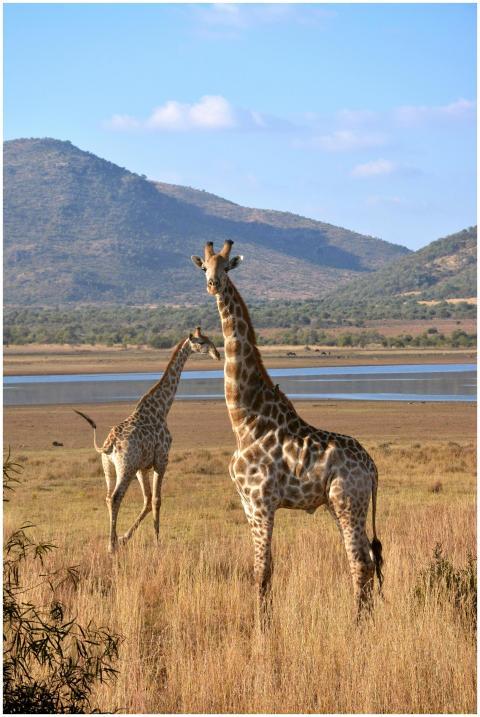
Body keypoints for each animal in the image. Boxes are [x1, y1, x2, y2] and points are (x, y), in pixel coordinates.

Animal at [74, 327, 220, 553]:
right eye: (202, 342)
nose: (217, 353)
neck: (162, 409)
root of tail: (109, 444)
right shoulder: (162, 460)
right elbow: (157, 500)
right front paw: (157, 540)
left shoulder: (143, 467)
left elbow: (147, 500)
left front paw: (125, 537)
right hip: (125, 467)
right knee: (116, 497)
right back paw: (111, 546)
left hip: (109, 467)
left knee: (108, 497)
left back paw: (114, 541)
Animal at [191, 241, 383, 622]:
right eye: (204, 266)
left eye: (226, 267)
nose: (212, 284)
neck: (245, 420)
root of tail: (372, 469)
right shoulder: (247, 503)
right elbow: (262, 567)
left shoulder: (262, 500)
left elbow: (262, 569)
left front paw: (261, 627)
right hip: (339, 505)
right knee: (367, 560)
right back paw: (365, 619)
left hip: (347, 501)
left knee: (361, 562)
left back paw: (357, 625)